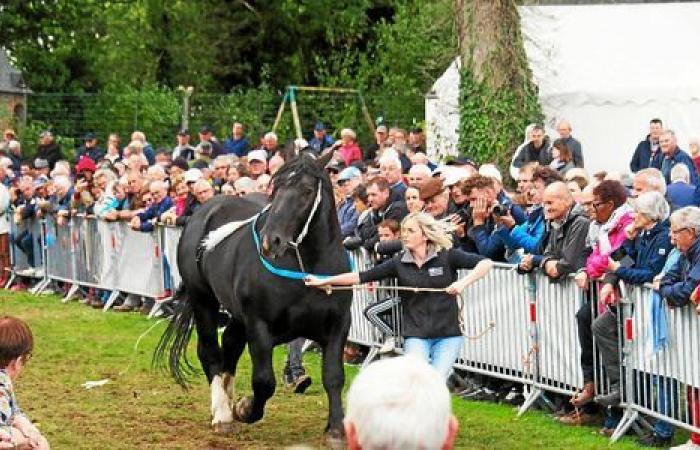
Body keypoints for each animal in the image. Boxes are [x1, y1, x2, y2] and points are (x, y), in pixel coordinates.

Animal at [153, 149, 350, 442]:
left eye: (306, 191)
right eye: (275, 189)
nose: (271, 241)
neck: (308, 268)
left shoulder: (338, 324)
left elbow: (334, 376)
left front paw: (336, 428)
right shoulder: (259, 325)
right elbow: (264, 382)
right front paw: (244, 409)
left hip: (236, 314)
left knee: (230, 345)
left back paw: (227, 397)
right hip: (204, 301)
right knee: (210, 351)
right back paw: (222, 413)